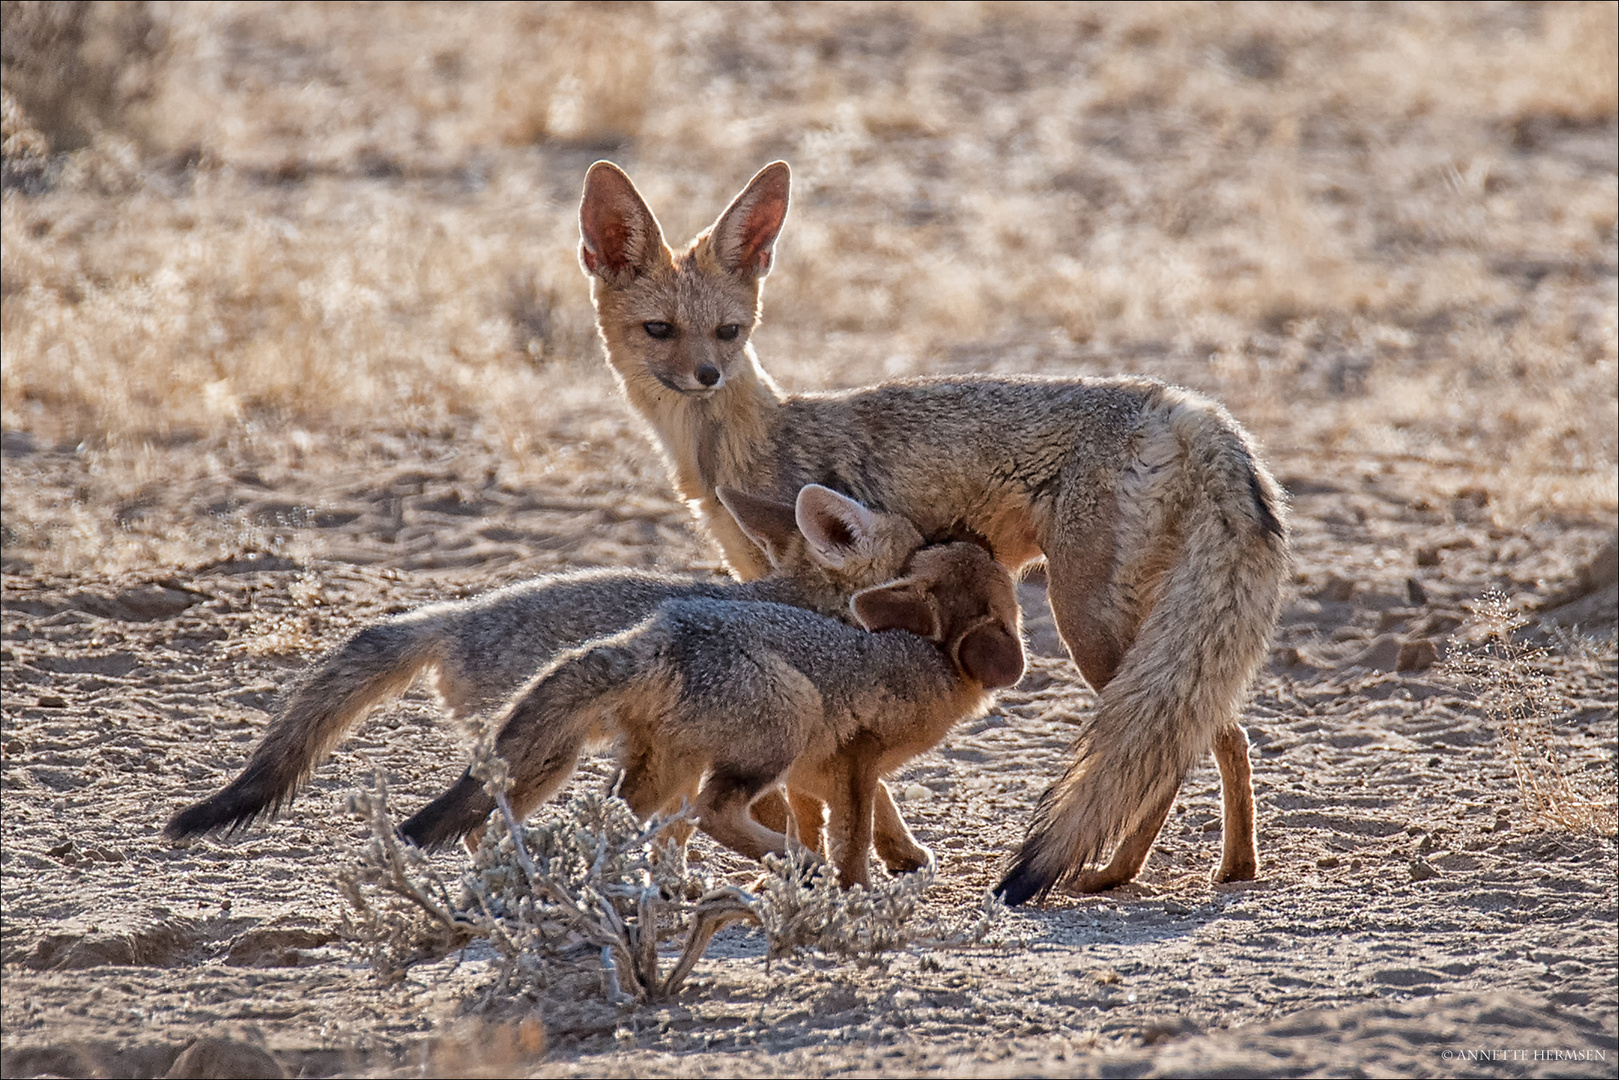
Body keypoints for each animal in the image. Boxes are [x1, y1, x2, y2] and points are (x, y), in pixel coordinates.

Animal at [167, 485, 939, 867]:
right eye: (929, 544)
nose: (957, 530)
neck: (800, 596)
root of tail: (457, 613)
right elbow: (858, 796)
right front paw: (890, 853)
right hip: (549, 759)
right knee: (478, 827)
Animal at [396, 537, 1016, 887]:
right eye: (995, 568)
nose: (976, 533)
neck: (930, 656)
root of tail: (659, 634)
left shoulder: (818, 773)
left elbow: (843, 822)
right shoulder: (854, 760)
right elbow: (853, 835)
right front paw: (855, 886)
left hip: (661, 771)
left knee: (611, 822)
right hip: (782, 726)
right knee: (713, 812)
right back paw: (794, 866)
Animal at [576, 160, 1295, 906]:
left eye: (728, 331)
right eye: (659, 329)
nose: (706, 377)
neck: (741, 443)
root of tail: (1187, 406)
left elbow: (836, 779)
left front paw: (869, 856)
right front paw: (880, 854)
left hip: (1088, 625)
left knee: (1179, 744)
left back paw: (1123, 870)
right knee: (1215, 734)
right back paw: (1227, 865)